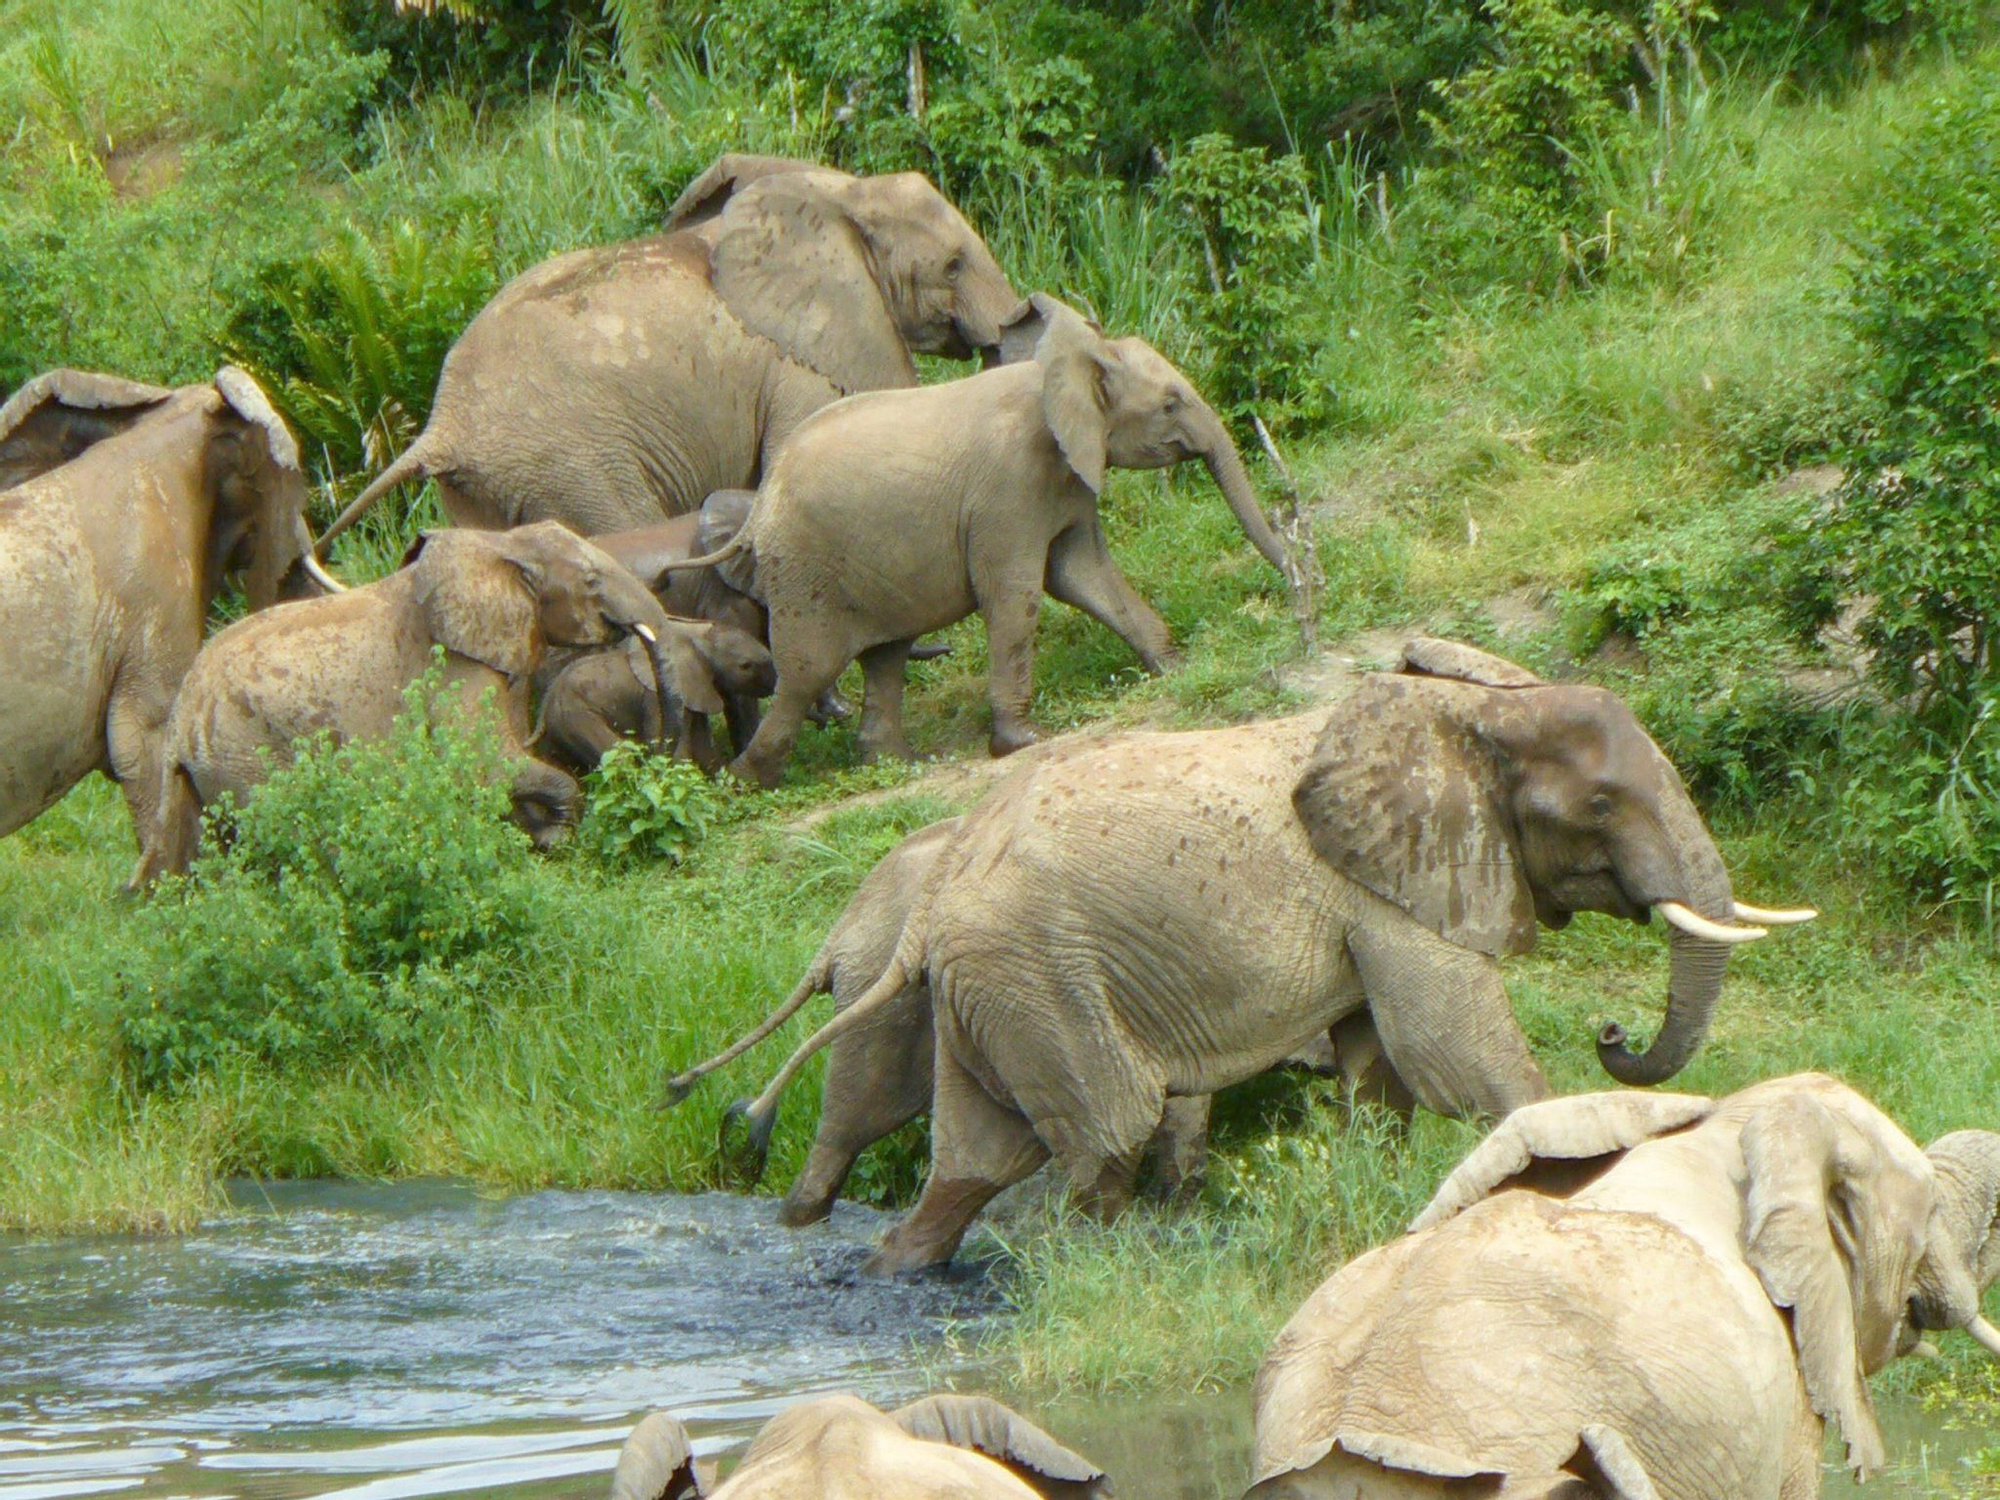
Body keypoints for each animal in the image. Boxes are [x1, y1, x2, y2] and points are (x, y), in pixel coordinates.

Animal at [131, 523, 704, 883]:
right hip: (246, 753)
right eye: (590, 581)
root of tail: (179, 719)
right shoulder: (451, 666)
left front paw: (531, 835)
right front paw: (555, 838)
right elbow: (483, 765)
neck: (497, 545)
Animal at [312, 153, 1024, 552]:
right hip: (577, 464)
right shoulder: (800, 365)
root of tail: (443, 426)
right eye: (953, 265)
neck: (841, 193)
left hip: (484, 490)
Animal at [531, 623, 774, 776]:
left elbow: (702, 745)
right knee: (619, 756)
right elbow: (669, 746)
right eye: (745, 666)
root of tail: (545, 704)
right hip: (575, 715)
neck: (696, 640)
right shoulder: (657, 696)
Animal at [670, 294, 1292, 786]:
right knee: (807, 674)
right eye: (1169, 404)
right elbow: (1017, 596)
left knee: (886, 655)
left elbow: (1083, 576)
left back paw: (900, 764)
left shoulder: (1064, 480)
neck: (1064, 371)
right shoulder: (1008, 489)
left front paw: (1177, 667)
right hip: (806, 570)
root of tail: (760, 506)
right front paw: (1023, 743)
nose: (1298, 577)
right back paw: (743, 782)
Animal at [717, 640, 1812, 1273]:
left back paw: (893, 1269)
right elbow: (1450, 1050)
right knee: (1104, 1127)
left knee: (975, 1155)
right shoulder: (1387, 890)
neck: (1471, 714)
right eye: (1600, 803)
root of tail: (939, 898)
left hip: (993, 984)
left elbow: (1381, 1068)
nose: (1612, 1032)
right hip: (1039, 974)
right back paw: (1089, 1267)